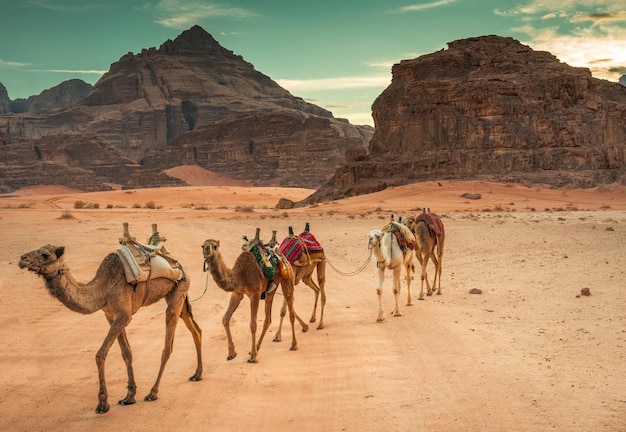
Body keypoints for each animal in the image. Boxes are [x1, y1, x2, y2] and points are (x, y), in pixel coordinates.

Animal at [17, 241, 202, 414]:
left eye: (45, 254)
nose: (22, 259)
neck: (103, 289)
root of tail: (179, 266)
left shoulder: (123, 315)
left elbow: (100, 354)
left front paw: (102, 404)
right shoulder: (111, 315)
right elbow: (126, 352)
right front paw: (129, 396)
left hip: (178, 291)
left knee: (168, 345)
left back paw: (153, 392)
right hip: (176, 294)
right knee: (196, 330)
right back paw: (197, 375)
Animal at [199, 230, 298, 362]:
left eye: (215, 246)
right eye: (202, 245)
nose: (206, 249)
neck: (239, 276)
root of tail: (282, 256)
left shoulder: (255, 294)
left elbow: (253, 325)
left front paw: (253, 358)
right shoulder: (237, 293)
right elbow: (225, 318)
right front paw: (232, 353)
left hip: (288, 279)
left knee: (291, 311)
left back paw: (293, 345)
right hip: (272, 288)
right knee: (268, 318)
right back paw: (256, 348)